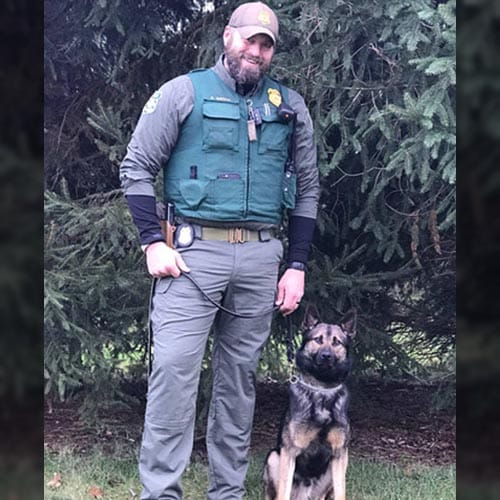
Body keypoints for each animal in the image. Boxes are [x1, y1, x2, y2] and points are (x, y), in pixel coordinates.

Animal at [262, 304, 356, 500]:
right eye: (318, 340)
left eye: (336, 342)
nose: (326, 356)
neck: (322, 389)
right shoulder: (289, 453)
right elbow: (283, 492)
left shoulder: (339, 455)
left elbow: (341, 493)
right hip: (274, 457)